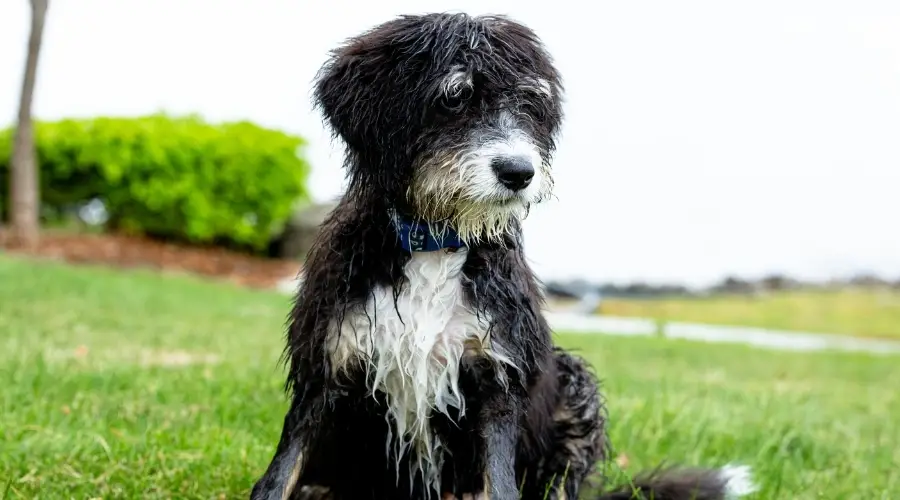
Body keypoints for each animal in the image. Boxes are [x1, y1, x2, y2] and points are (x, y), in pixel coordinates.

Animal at [250, 11, 756, 500]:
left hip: (575, 388)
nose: (519, 172)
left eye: (530, 103)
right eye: (455, 98)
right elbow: (282, 472)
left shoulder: (496, 373)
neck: (436, 242)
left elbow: (499, 481)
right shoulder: (328, 366)